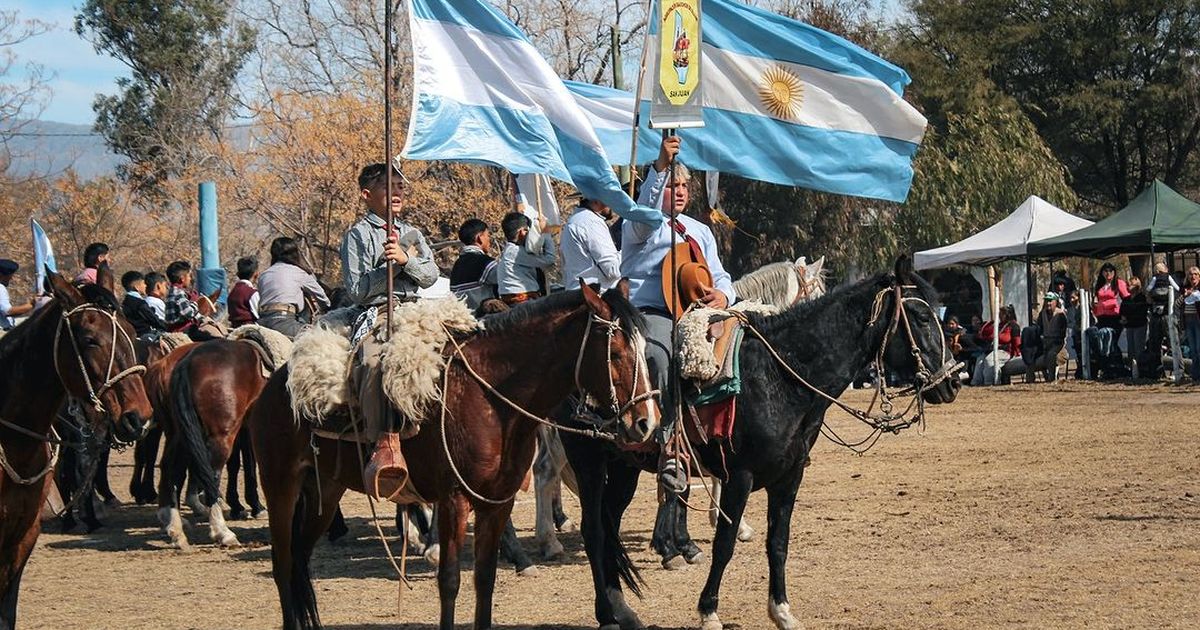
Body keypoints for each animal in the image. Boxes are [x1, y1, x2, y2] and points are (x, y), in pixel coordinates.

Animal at [248, 283, 662, 628]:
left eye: (644, 350)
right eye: (615, 353)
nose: (646, 423)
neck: (491, 398)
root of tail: (277, 384)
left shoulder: (497, 502)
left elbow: (485, 578)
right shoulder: (453, 500)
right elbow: (449, 579)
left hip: (324, 494)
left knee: (299, 558)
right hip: (280, 486)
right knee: (283, 564)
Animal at [556, 256, 960, 628]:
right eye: (921, 318)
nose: (953, 381)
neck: (777, 376)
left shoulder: (789, 477)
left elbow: (778, 543)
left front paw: (781, 610)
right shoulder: (740, 476)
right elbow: (724, 544)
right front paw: (708, 611)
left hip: (625, 465)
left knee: (609, 525)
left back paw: (622, 608)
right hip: (587, 460)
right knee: (594, 530)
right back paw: (606, 609)